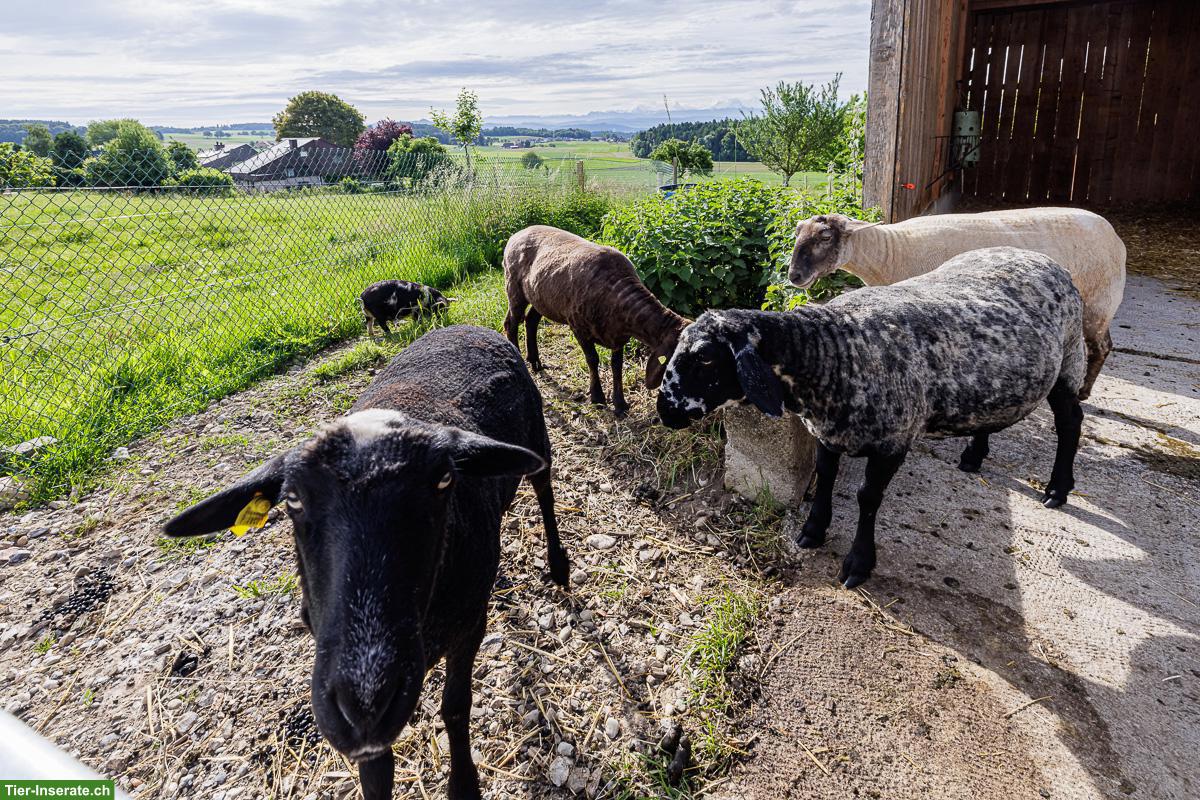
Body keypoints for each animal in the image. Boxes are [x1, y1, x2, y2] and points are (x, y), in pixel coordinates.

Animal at [162, 325, 570, 800]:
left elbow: (455, 707)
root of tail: (461, 325)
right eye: (293, 500)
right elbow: (376, 767)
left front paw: (464, 784)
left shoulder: (469, 623)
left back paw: (558, 565)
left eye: (443, 481)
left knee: (544, 491)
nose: (365, 700)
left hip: (537, 439)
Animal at [503, 225, 690, 417]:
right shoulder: (579, 327)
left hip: (541, 298)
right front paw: (598, 397)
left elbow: (617, 366)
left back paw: (535, 362)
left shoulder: (618, 337)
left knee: (531, 320)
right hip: (514, 287)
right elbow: (592, 359)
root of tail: (519, 233)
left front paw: (620, 404)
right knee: (511, 323)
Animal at [657, 247, 1086, 589]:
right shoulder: (828, 432)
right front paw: (812, 530)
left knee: (1071, 421)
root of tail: (1046, 258)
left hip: (1069, 358)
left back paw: (1057, 489)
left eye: (706, 356)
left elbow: (867, 497)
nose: (664, 409)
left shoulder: (892, 442)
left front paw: (858, 563)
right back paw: (973, 456)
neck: (834, 352)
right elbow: (826, 476)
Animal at [788, 207, 1125, 399]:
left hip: (1099, 300)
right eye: (796, 235)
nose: (794, 276)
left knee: (1100, 347)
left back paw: (1083, 393)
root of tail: (1116, 236)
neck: (892, 252)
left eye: (825, 237)